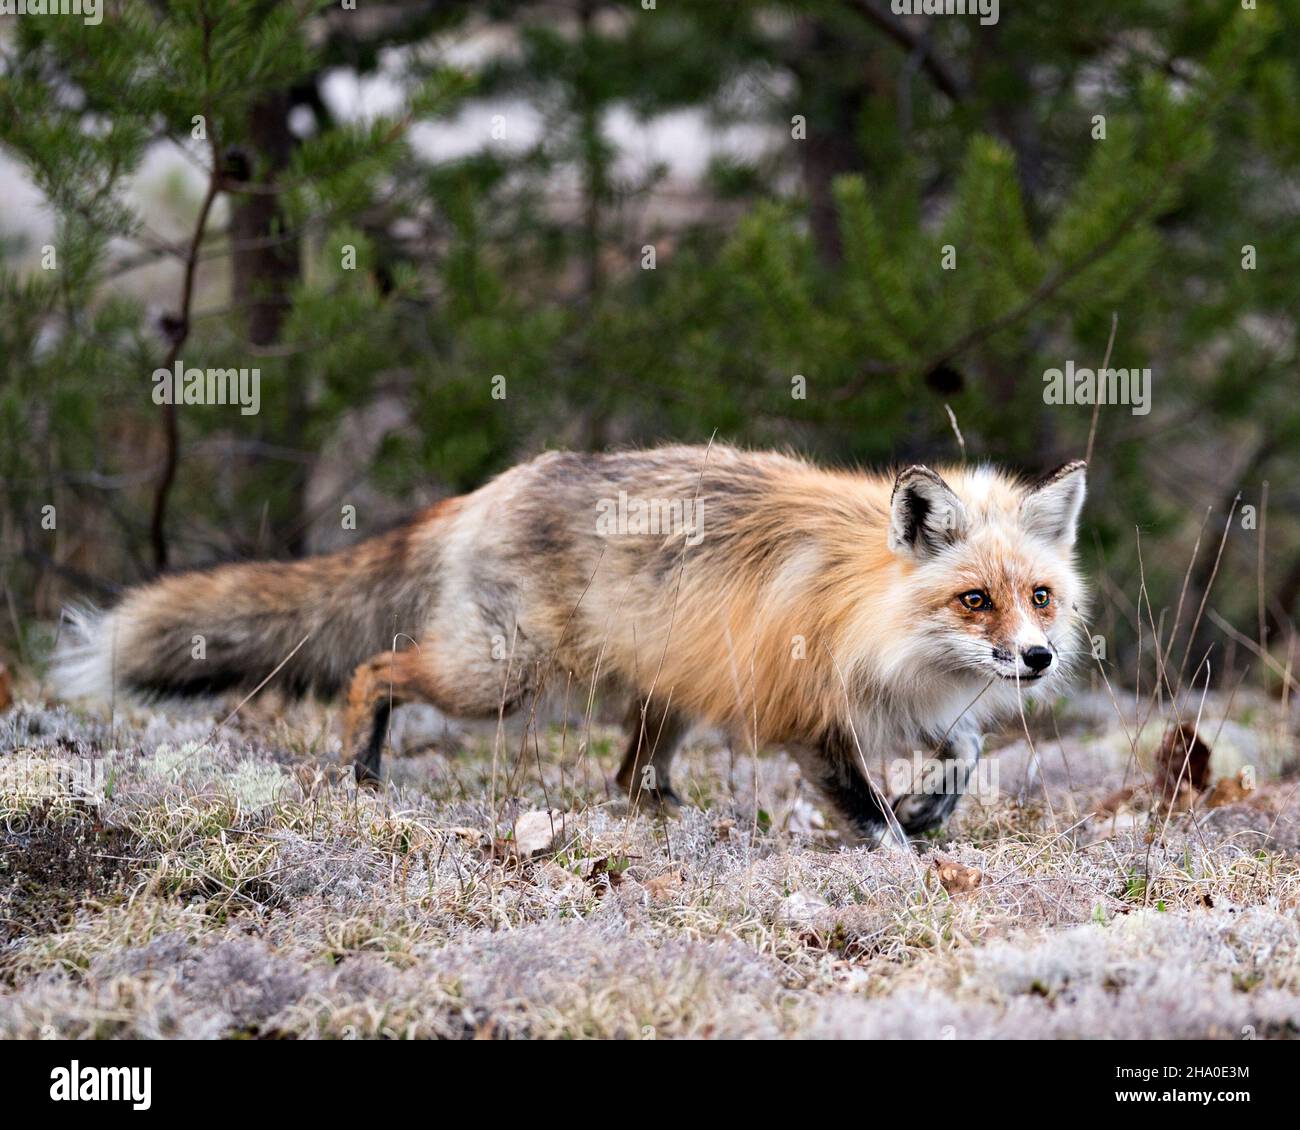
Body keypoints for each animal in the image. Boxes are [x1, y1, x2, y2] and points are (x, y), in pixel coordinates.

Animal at [53, 445, 1088, 846]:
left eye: (1037, 597)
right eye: (974, 599)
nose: (1037, 659)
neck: (864, 607)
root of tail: (489, 488)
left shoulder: (905, 700)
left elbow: (964, 751)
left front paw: (930, 808)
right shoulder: (812, 716)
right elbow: (869, 816)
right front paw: (910, 858)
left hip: (664, 691)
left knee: (628, 776)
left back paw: (672, 818)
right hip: (501, 678)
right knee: (375, 669)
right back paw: (361, 770)